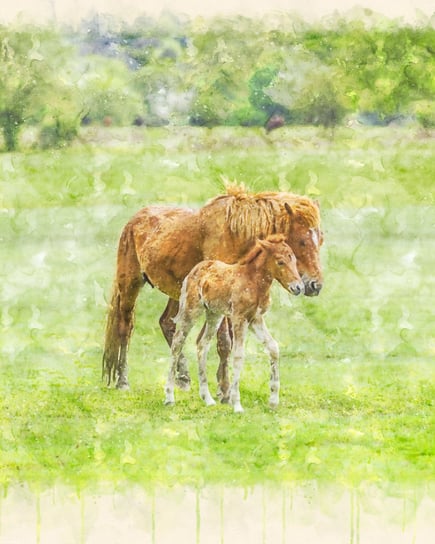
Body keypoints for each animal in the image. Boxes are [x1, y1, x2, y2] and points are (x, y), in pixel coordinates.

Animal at [103, 185, 324, 394]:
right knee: (126, 327)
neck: (235, 236)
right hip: (130, 285)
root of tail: (133, 221)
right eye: (302, 241)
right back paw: (123, 381)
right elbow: (224, 341)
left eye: (320, 240)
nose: (315, 285)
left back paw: (183, 378)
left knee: (168, 324)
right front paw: (224, 389)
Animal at [165, 234, 304, 412]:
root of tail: (196, 269)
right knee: (177, 343)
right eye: (280, 262)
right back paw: (169, 397)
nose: (298, 287)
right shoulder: (239, 318)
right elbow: (238, 356)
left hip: (214, 314)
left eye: (294, 259)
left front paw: (273, 401)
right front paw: (236, 404)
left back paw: (207, 398)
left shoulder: (256, 319)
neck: (254, 283)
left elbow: (273, 348)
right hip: (191, 310)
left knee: (202, 344)